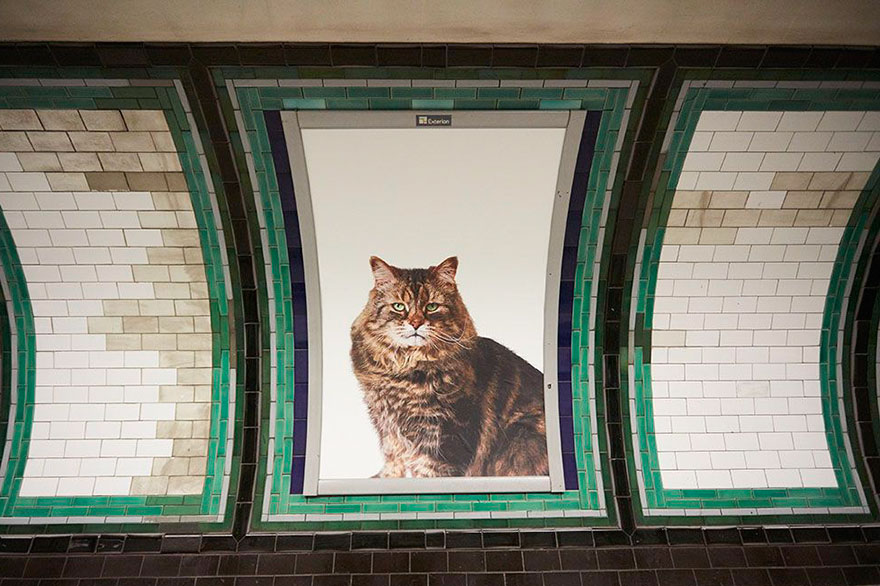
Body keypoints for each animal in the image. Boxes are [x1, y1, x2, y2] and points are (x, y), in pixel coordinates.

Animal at [352, 254, 552, 474]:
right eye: (399, 306)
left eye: (431, 307)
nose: (415, 323)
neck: (404, 371)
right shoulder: (386, 424)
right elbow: (394, 459)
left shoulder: (446, 435)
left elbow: (429, 470)